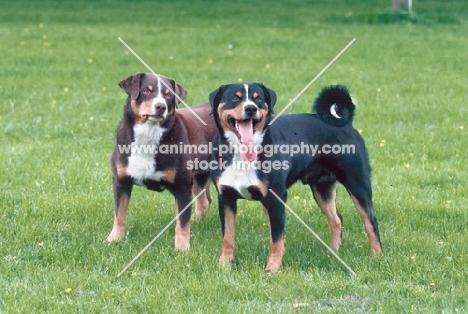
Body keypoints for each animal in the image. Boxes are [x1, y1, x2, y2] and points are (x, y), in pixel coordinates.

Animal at [106, 72, 218, 250]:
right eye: (146, 90)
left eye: (168, 95)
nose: (161, 107)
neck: (148, 135)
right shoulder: (121, 181)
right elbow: (119, 215)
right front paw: (115, 239)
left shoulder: (182, 187)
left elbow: (182, 223)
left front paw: (182, 248)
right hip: (199, 175)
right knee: (204, 202)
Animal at [208, 83, 380, 272]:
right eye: (235, 98)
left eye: (258, 99)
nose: (251, 108)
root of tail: (345, 123)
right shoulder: (226, 198)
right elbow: (228, 237)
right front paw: (224, 265)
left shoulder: (276, 198)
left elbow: (276, 239)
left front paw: (272, 269)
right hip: (322, 189)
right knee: (336, 219)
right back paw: (333, 251)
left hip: (357, 184)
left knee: (370, 220)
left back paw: (377, 256)